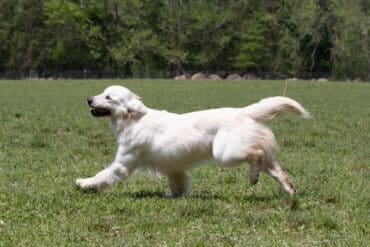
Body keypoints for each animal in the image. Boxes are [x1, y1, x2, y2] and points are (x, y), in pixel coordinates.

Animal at [76, 85, 310, 197]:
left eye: (108, 97)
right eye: (102, 93)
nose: (88, 99)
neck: (133, 119)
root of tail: (243, 111)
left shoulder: (123, 163)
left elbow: (103, 175)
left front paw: (84, 183)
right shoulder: (174, 167)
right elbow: (178, 184)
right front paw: (174, 196)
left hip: (226, 153)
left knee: (257, 155)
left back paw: (253, 178)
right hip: (257, 157)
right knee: (278, 171)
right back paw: (290, 191)